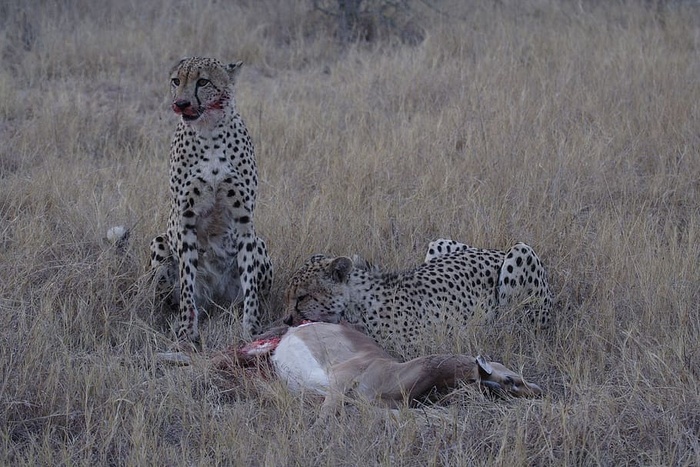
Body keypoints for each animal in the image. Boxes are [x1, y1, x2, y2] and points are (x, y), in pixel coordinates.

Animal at [150, 57, 274, 344]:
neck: (208, 132)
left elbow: (250, 285)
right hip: (160, 242)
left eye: (203, 81)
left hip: (259, 243)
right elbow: (187, 282)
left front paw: (251, 330)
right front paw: (186, 331)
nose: (181, 103)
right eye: (176, 81)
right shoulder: (185, 218)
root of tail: (214, 299)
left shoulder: (243, 220)